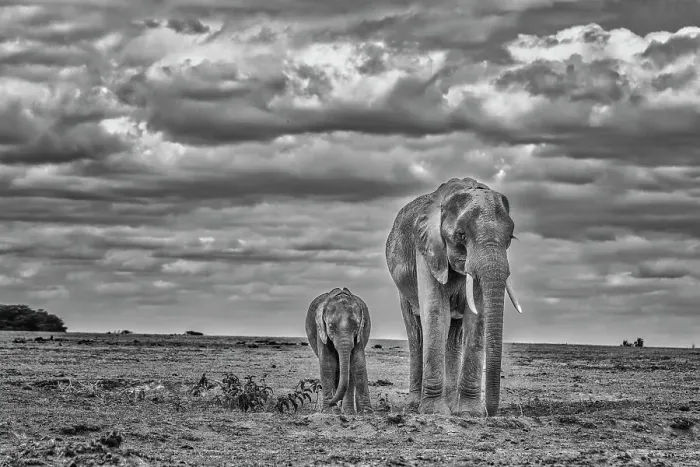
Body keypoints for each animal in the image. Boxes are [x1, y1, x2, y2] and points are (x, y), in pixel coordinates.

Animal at [385, 177, 523, 417]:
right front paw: (433, 412)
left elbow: (477, 318)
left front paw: (468, 413)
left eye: (510, 238)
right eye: (460, 235)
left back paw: (451, 405)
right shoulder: (427, 249)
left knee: (455, 335)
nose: (489, 412)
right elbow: (436, 313)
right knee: (416, 333)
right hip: (403, 290)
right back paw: (414, 405)